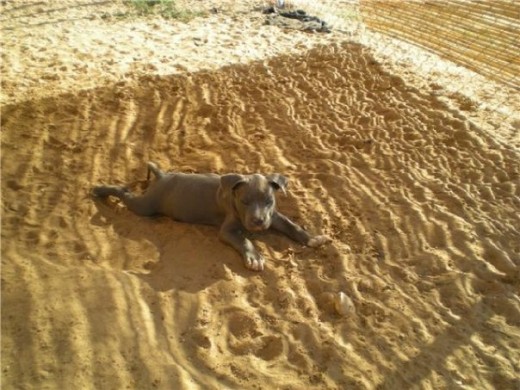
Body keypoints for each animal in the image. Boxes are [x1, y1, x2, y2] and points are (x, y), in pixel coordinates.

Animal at [93, 161, 330, 272]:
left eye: (268, 201)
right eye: (244, 202)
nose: (258, 222)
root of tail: (163, 176)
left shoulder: (275, 216)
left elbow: (291, 225)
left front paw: (312, 238)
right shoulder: (228, 230)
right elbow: (244, 240)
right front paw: (255, 257)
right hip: (145, 206)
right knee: (124, 193)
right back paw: (100, 190)